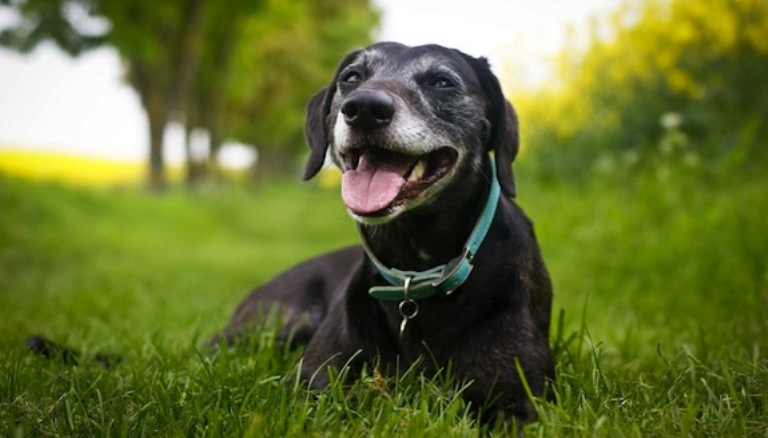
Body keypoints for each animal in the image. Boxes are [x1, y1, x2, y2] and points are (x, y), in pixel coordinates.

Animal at [207, 42, 556, 420]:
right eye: (351, 77)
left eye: (442, 82)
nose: (364, 108)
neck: (415, 268)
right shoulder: (306, 384)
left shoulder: (520, 400)